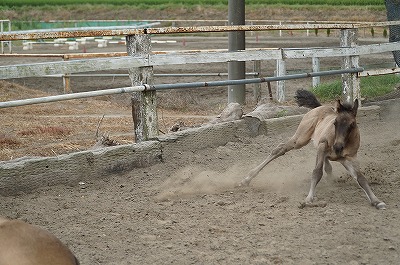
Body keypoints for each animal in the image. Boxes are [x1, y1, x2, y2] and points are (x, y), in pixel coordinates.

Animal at [239, 89, 386, 209]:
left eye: (352, 124)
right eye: (335, 123)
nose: (337, 146)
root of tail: (319, 107)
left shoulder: (349, 158)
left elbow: (361, 178)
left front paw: (377, 201)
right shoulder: (323, 145)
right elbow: (316, 172)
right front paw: (309, 199)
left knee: (325, 162)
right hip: (300, 139)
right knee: (280, 148)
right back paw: (246, 179)